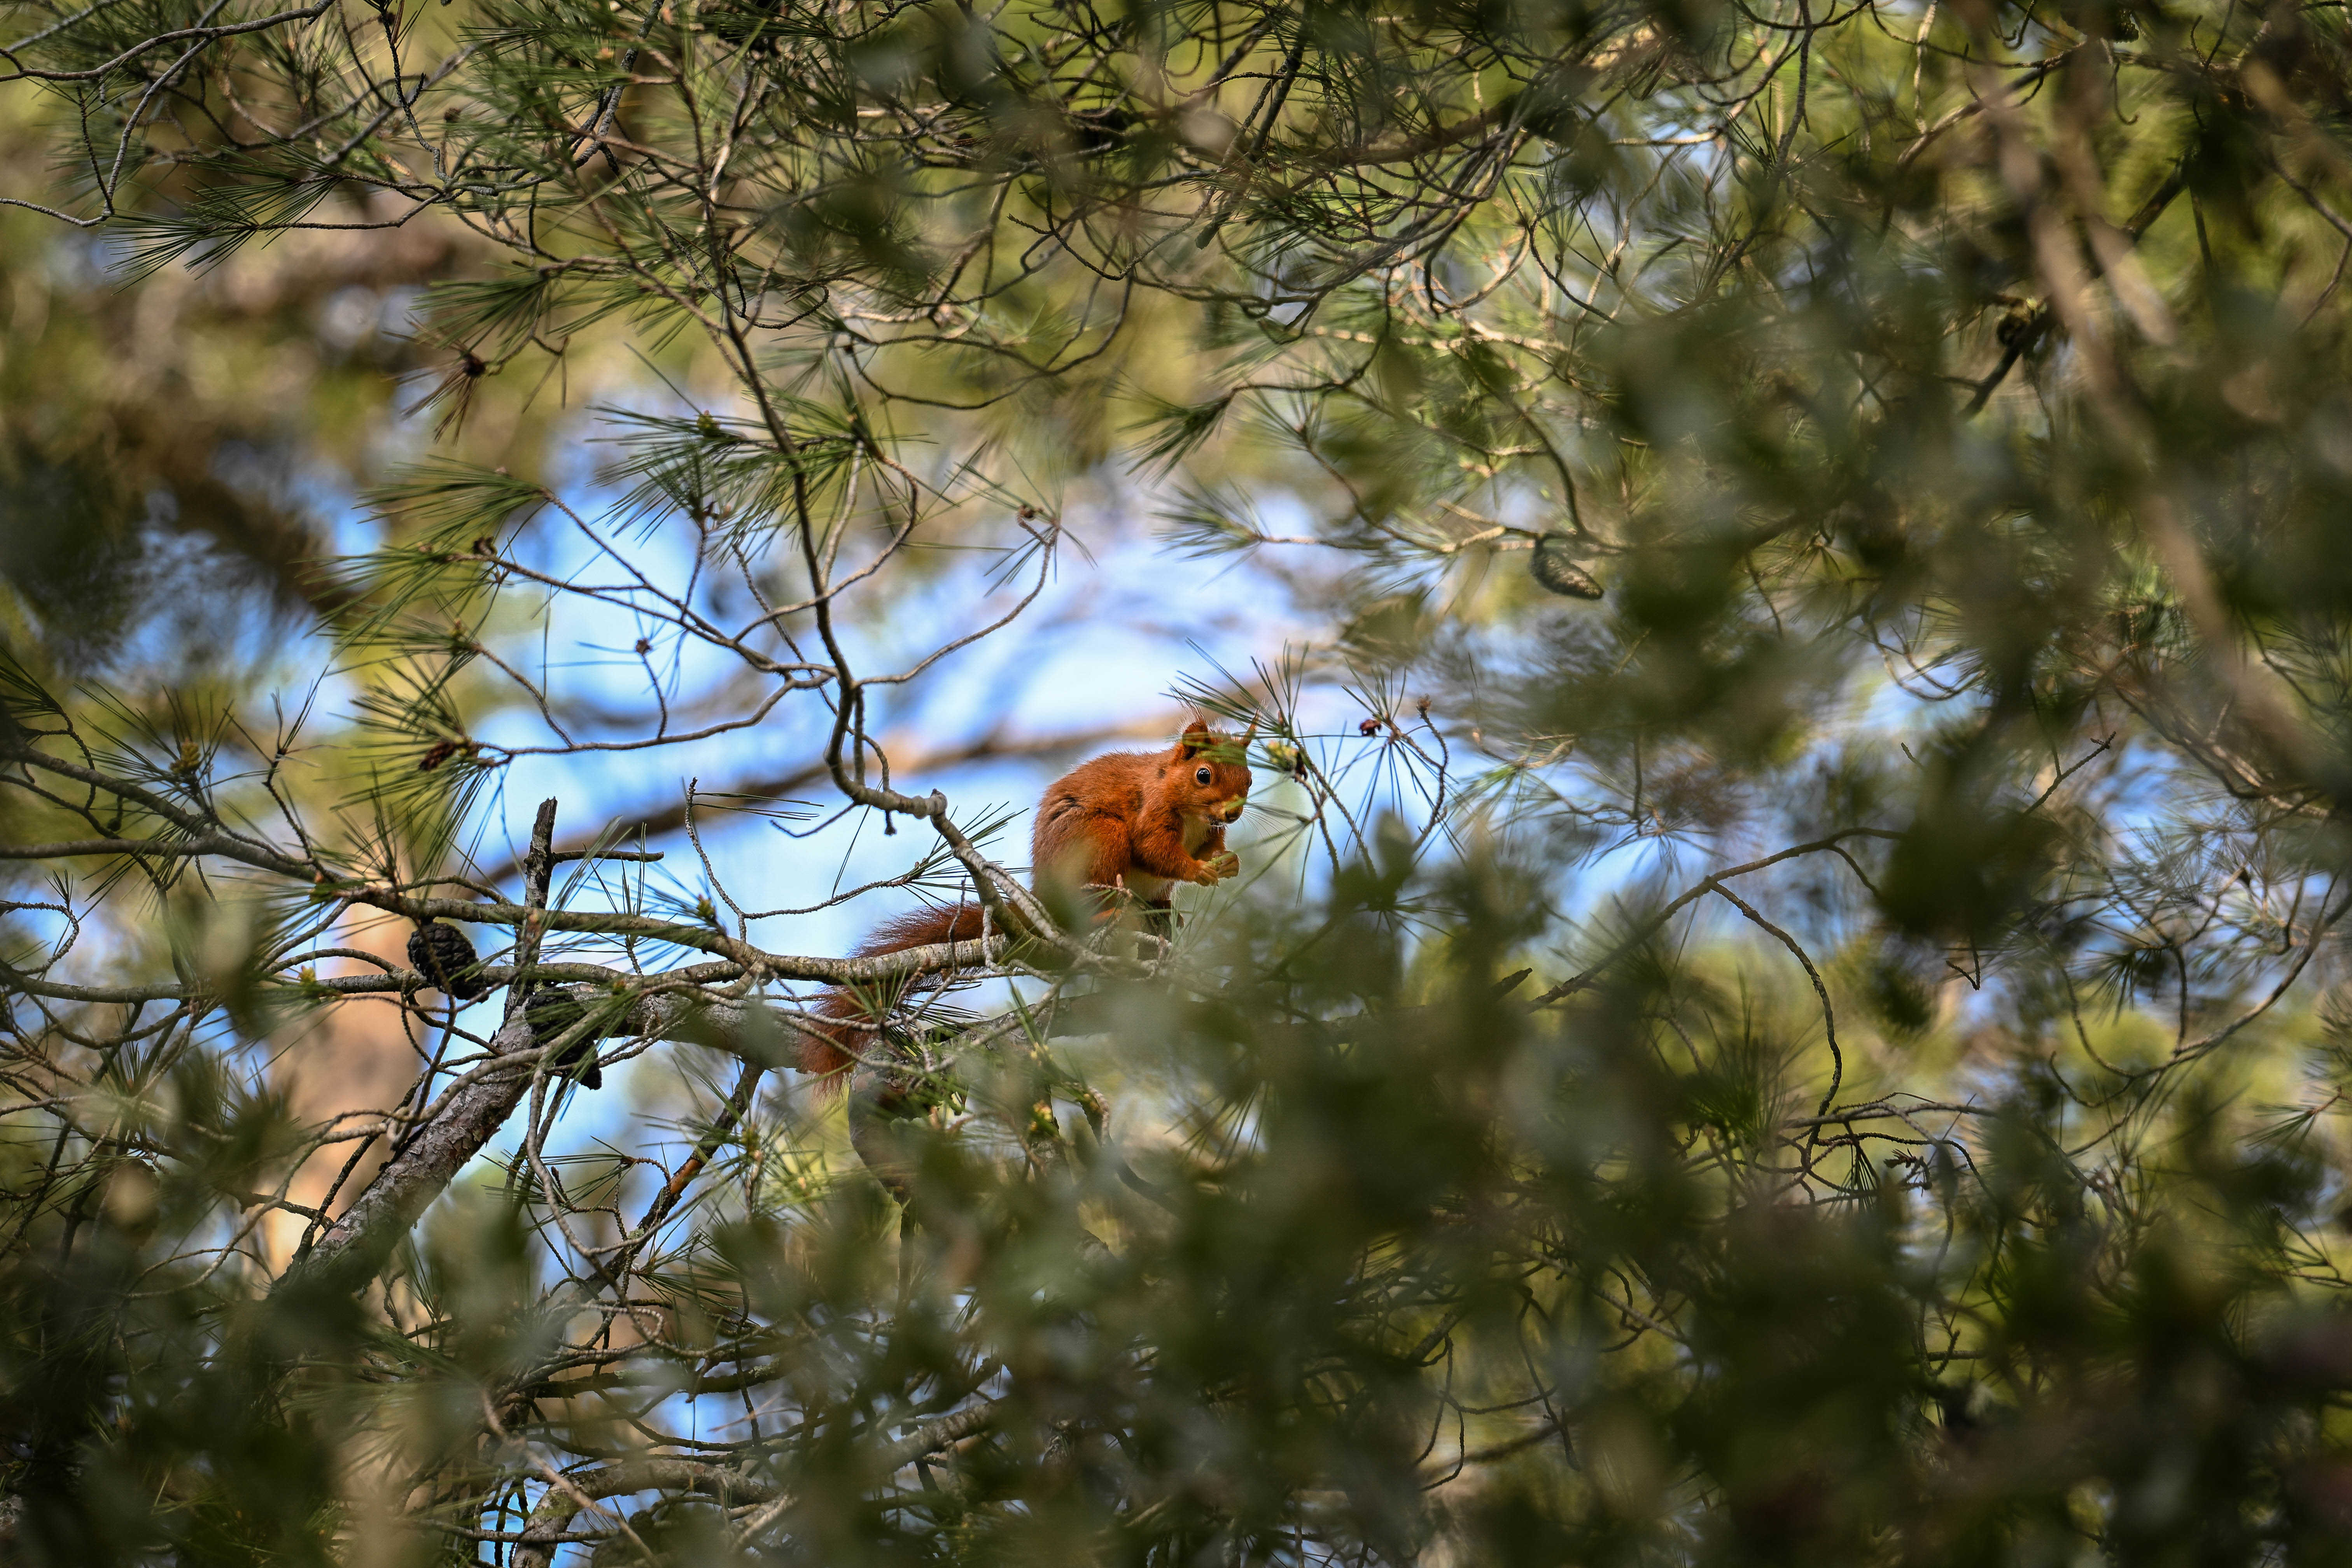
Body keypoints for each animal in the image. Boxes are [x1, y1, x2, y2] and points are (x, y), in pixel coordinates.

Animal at [797, 717, 1255, 1077]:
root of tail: (1042, 899)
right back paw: (1105, 916)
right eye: (1204, 775)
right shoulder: (1151, 812)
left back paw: (1166, 917)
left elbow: (1211, 849)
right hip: (1100, 838)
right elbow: (1155, 850)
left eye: (1250, 779)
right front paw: (1199, 871)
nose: (1233, 812)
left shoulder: (1210, 834)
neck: (1195, 814)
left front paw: (1228, 864)